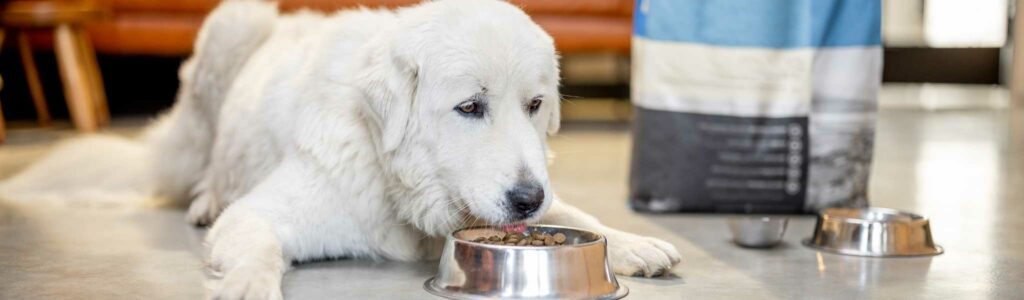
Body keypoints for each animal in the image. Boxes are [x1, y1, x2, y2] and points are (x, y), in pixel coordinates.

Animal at [16, 0, 679, 296]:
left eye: (536, 105)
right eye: (470, 107)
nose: (525, 198)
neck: (396, 181)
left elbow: (573, 212)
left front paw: (632, 242)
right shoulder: (262, 214)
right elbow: (257, 244)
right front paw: (249, 285)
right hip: (233, 27)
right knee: (198, 169)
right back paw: (204, 198)